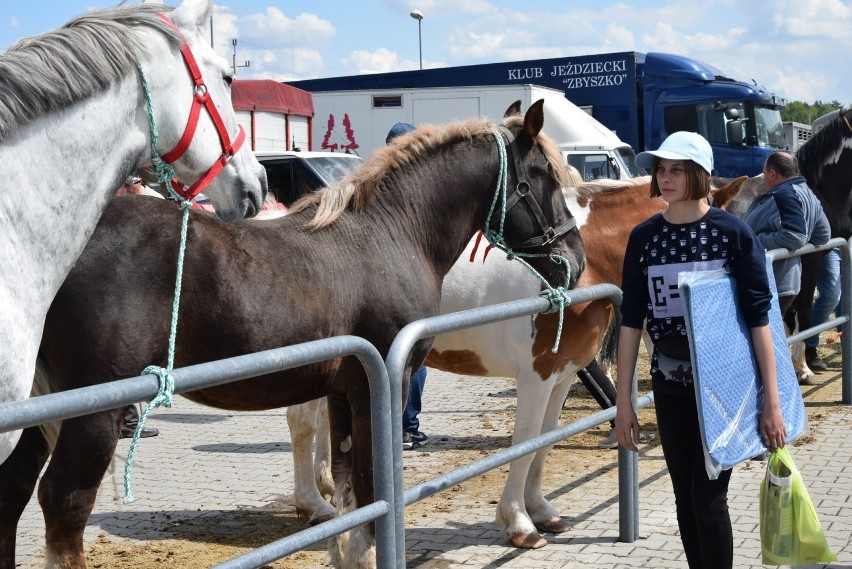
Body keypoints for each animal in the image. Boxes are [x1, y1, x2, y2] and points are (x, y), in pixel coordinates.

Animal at [0, 102, 584, 568]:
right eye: (542, 175)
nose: (574, 263)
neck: (393, 233)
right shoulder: (382, 385)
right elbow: (371, 482)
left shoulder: (347, 390)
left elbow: (350, 486)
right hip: (92, 415)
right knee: (64, 505)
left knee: (15, 488)